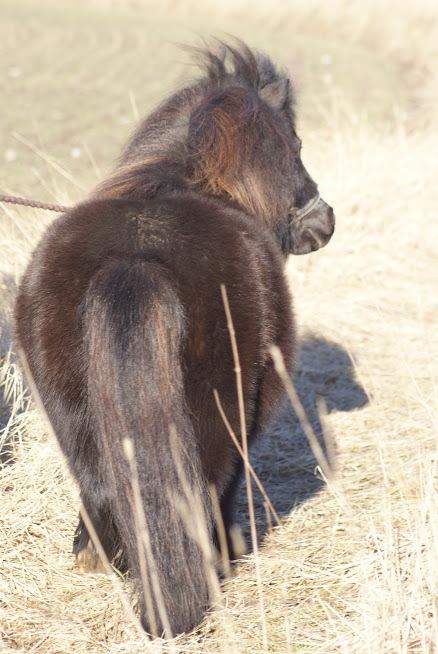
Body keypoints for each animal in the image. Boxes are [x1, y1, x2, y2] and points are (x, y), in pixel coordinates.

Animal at [13, 39, 336, 636]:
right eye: (297, 143)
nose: (323, 222)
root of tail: (135, 264)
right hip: (218, 416)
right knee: (206, 486)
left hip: (70, 417)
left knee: (99, 486)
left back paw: (99, 559)